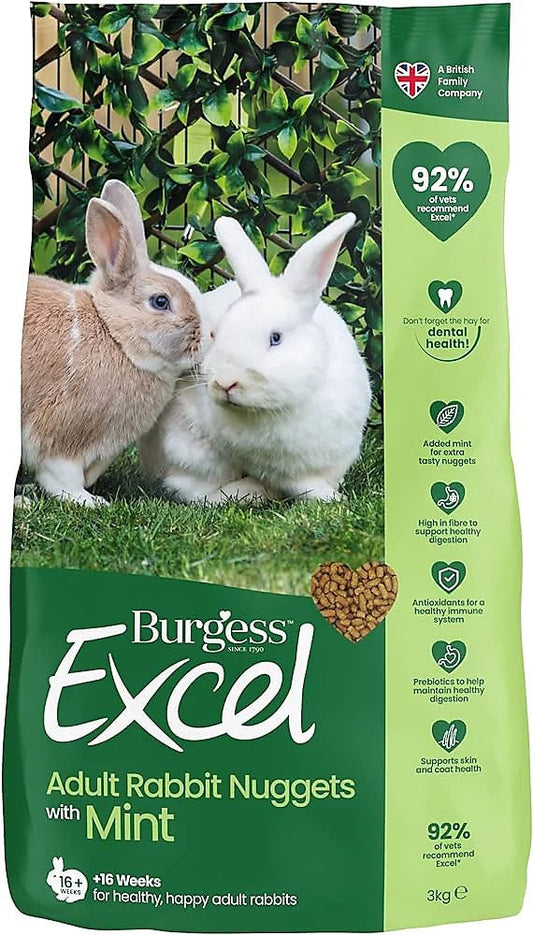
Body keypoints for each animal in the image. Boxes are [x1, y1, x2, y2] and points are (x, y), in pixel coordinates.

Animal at [22, 179, 202, 507]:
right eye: (160, 302)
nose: (208, 335)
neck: (114, 336)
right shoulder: (62, 433)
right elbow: (60, 477)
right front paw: (89, 502)